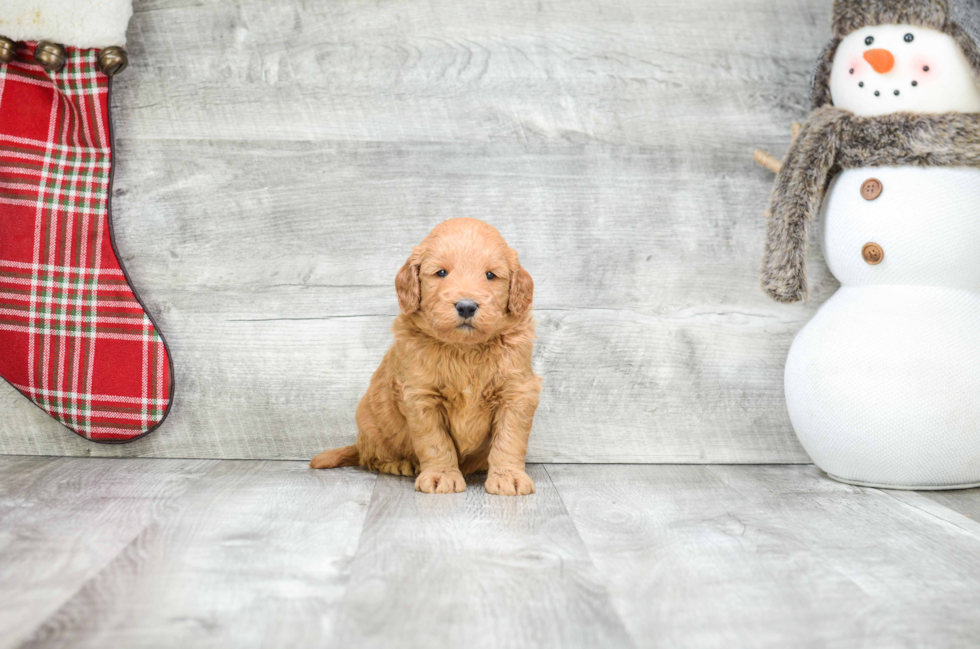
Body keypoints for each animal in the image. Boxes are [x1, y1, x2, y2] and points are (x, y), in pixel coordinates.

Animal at [312, 219, 544, 496]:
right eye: (441, 273)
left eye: (490, 275)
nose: (466, 306)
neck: (464, 350)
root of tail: (359, 443)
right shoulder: (420, 396)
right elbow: (435, 441)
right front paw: (441, 475)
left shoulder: (516, 392)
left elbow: (509, 439)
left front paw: (509, 476)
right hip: (371, 425)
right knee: (372, 458)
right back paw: (401, 464)